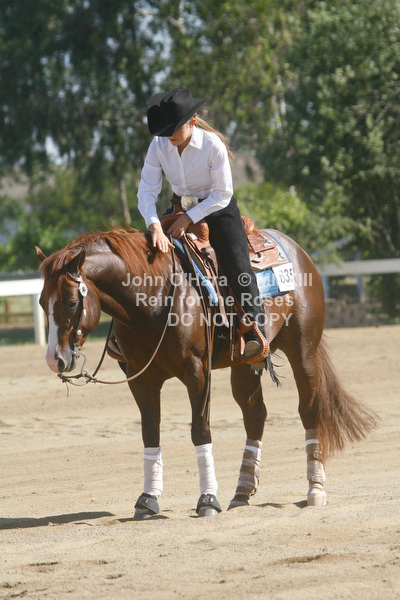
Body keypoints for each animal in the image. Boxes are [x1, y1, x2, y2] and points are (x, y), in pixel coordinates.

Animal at [36, 226, 377, 519]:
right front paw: (147, 499)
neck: (154, 296)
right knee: (255, 416)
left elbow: (200, 430)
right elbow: (150, 433)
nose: (54, 360)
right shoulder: (141, 379)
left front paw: (207, 500)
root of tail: (295, 247)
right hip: (244, 365)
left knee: (309, 409)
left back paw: (315, 489)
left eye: (70, 302)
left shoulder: (197, 372)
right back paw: (241, 493)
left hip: (303, 352)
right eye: (41, 302)